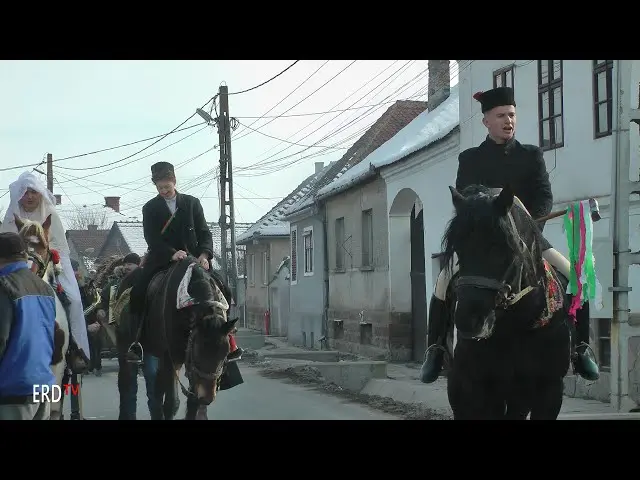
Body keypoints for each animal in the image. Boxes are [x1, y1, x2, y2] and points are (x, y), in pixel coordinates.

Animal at [116, 255, 236, 420]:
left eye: (224, 354)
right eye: (198, 352)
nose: (207, 397)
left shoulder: (189, 366)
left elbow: (192, 402)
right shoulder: (172, 358)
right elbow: (172, 403)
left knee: (156, 390)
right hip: (125, 347)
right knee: (126, 384)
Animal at [442, 186, 572, 418]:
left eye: (503, 247)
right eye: (458, 248)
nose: (469, 322)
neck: (517, 325)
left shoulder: (550, 389)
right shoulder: (474, 387)